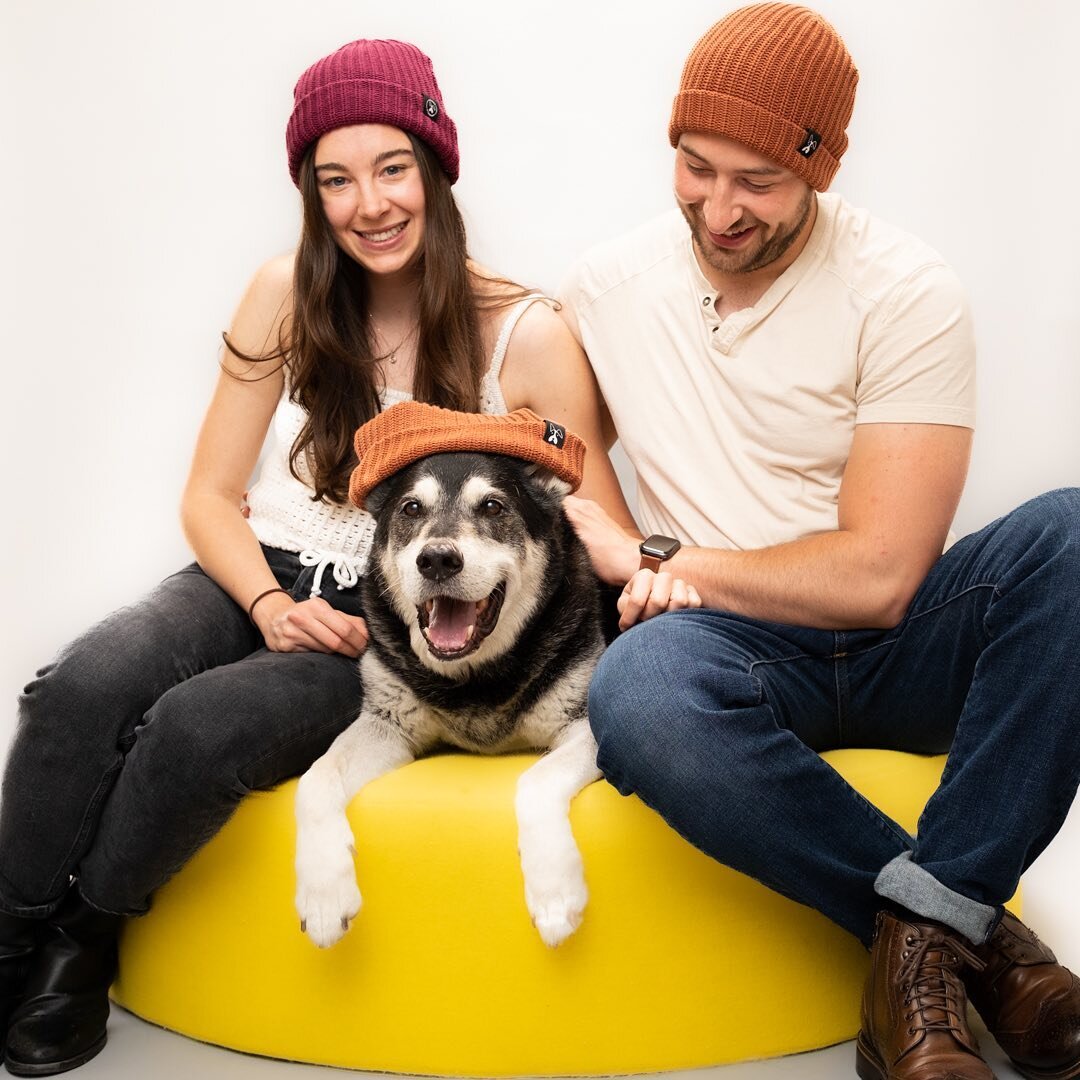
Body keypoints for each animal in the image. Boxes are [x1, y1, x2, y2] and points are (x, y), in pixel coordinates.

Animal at [293, 444, 609, 946]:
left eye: (493, 507)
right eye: (411, 509)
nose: (437, 560)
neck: (472, 677)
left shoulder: (586, 725)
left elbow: (536, 779)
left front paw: (555, 894)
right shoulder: (386, 723)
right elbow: (315, 778)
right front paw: (324, 896)